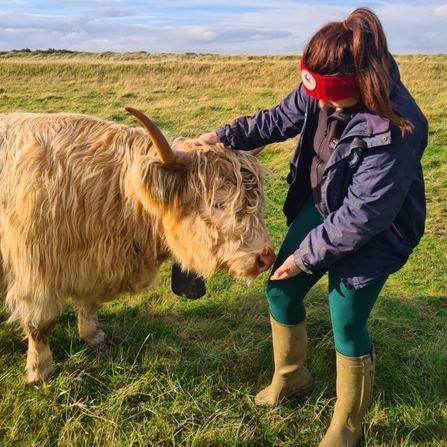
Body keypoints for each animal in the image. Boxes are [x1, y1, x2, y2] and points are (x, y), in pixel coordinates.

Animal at [0, 107, 276, 384]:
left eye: (257, 199)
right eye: (218, 203)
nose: (265, 257)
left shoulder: (92, 266)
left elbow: (88, 303)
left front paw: (95, 337)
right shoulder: (35, 274)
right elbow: (40, 326)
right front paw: (40, 371)